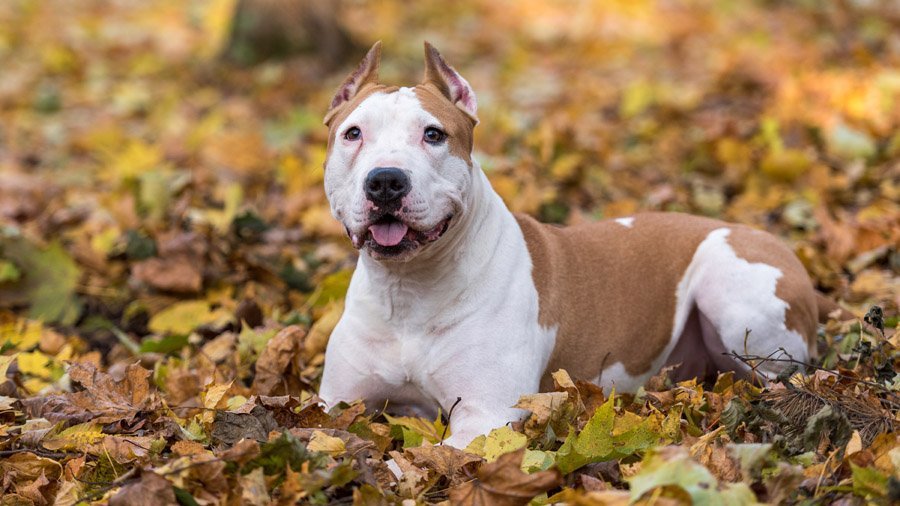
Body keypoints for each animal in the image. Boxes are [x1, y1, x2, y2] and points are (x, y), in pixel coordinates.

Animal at [318, 42, 844, 446]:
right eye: (352, 133)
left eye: (433, 134)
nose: (386, 181)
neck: (409, 291)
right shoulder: (333, 403)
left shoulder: (485, 416)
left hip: (732, 290)